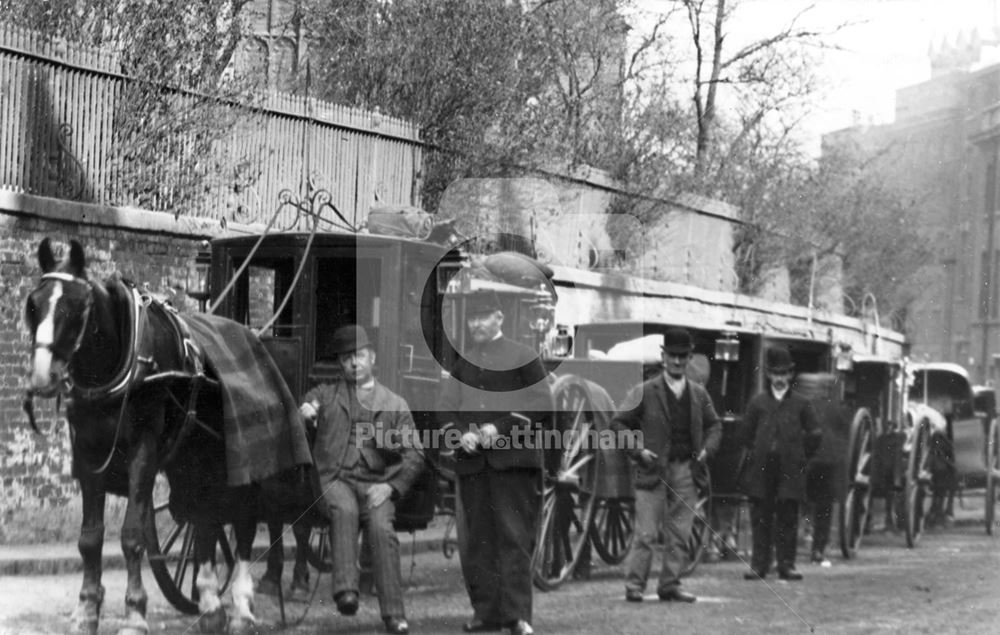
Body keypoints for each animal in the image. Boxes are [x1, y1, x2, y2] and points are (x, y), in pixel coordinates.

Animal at [22, 238, 290, 635]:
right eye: (33, 305)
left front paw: (135, 613)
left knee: (242, 520)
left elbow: (132, 536)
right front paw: (86, 610)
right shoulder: (89, 454)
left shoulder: (142, 453)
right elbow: (90, 539)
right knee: (204, 518)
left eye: (77, 306)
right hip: (196, 462)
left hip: (242, 460)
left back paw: (242, 608)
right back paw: (210, 604)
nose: (43, 378)